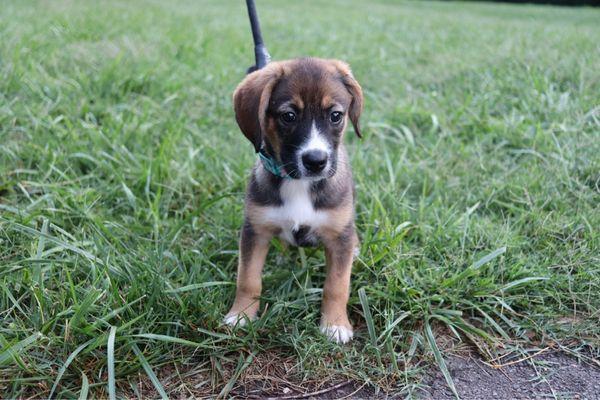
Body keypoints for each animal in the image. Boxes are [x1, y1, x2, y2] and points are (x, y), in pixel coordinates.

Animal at [225, 57, 364, 342]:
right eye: (288, 116)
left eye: (335, 115)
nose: (316, 161)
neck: (299, 183)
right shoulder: (255, 230)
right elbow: (248, 278)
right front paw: (241, 314)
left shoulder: (339, 234)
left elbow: (337, 285)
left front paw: (335, 324)